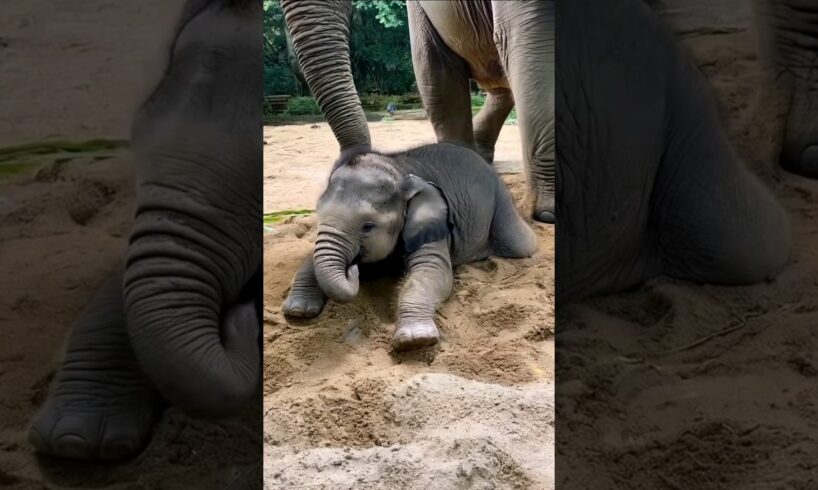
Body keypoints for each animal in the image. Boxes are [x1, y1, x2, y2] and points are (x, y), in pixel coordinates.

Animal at [280, 144, 536, 350]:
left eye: (368, 226)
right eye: (318, 216)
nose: (353, 268)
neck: (399, 170)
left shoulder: (434, 224)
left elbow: (432, 270)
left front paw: (415, 340)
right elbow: (311, 258)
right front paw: (298, 311)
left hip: (501, 202)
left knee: (521, 245)